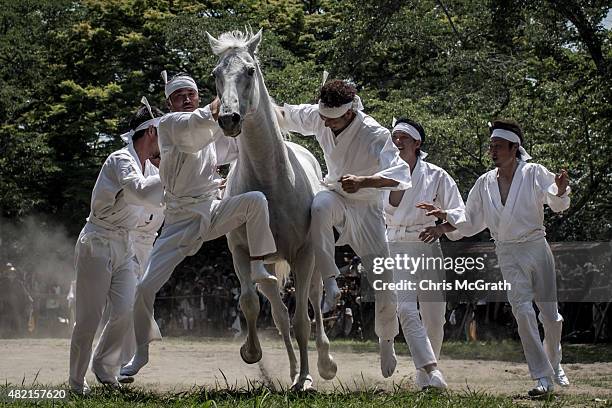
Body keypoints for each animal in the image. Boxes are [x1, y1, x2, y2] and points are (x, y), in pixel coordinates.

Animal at [208, 30, 338, 390]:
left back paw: (321, 366)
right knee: (279, 316)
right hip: (266, 267)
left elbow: (303, 320)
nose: (228, 119)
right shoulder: (242, 253)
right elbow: (251, 304)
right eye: (216, 74)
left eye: (250, 70)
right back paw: (292, 371)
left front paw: (307, 379)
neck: (271, 182)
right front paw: (251, 352)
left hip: (315, 262)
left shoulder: (303, 256)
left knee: (314, 305)